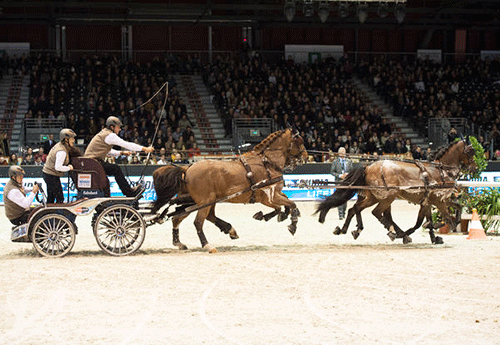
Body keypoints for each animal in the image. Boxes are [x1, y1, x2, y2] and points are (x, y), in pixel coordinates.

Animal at [152, 127, 308, 251]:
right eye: (300, 140)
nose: (306, 157)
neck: (267, 163)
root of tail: (187, 168)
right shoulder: (269, 197)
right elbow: (291, 204)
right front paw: (292, 225)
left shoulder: (271, 196)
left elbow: (283, 205)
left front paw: (271, 216)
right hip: (204, 201)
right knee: (198, 222)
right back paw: (207, 244)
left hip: (196, 202)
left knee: (180, 218)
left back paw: (181, 242)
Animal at [316, 136, 476, 242]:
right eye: (471, 151)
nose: (473, 168)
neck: (440, 170)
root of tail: (368, 166)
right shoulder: (439, 201)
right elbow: (445, 218)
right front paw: (437, 227)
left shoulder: (429, 202)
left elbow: (454, 208)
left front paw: (433, 236)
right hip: (388, 197)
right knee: (376, 212)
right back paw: (392, 232)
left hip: (374, 197)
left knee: (355, 209)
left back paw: (348, 230)